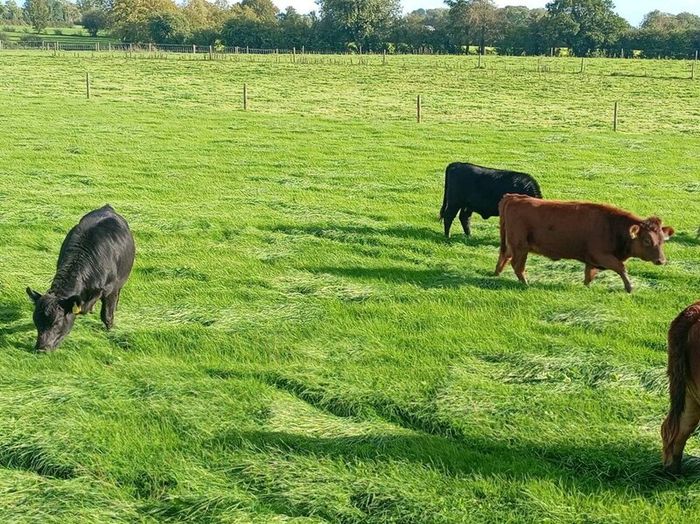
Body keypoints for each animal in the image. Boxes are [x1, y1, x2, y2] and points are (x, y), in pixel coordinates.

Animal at [26, 205, 135, 351]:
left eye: (56, 322)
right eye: (36, 321)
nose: (41, 348)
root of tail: (107, 207)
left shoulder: (111, 290)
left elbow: (107, 315)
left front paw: (111, 331)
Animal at [494, 194, 674, 293]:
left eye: (662, 241)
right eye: (647, 240)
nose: (661, 260)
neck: (611, 225)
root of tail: (514, 198)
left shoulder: (592, 260)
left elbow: (589, 275)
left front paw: (586, 287)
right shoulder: (602, 256)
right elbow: (621, 268)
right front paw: (629, 288)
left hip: (512, 246)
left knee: (504, 257)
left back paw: (496, 274)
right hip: (520, 247)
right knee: (518, 266)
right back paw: (526, 284)